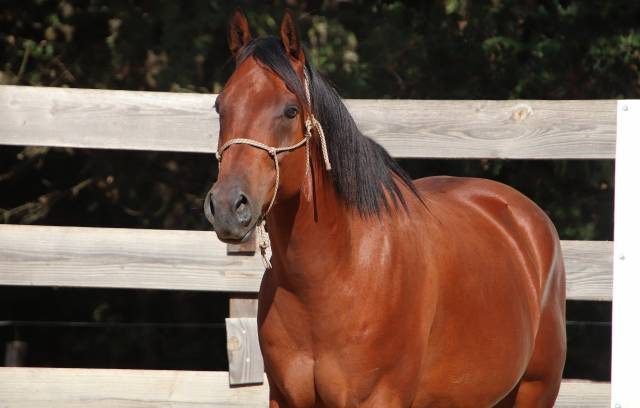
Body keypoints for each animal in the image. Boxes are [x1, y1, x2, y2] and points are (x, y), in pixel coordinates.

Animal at [204, 9, 566, 408]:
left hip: (536, 389)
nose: (228, 205)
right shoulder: (285, 398)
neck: (334, 275)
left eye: (290, 110)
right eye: (220, 106)